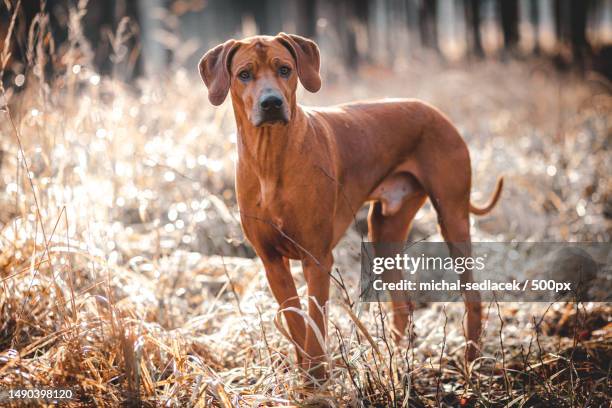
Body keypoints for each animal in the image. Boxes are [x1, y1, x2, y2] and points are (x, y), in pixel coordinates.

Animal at [200, 33, 502, 380]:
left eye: (285, 69)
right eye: (244, 74)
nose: (272, 103)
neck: (270, 157)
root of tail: (434, 110)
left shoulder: (317, 258)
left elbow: (316, 323)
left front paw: (318, 377)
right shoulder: (271, 260)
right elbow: (296, 320)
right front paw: (306, 376)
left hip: (452, 217)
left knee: (472, 297)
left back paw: (471, 360)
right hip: (385, 231)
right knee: (402, 303)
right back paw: (397, 360)